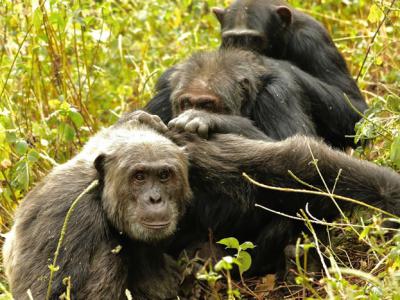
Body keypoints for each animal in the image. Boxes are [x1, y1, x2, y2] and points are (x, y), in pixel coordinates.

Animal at [2, 112, 191, 300]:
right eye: (139, 176)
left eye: (164, 175)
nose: (155, 198)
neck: (100, 192)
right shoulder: (68, 216)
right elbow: (44, 292)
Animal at [145, 49, 360, 150]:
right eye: (186, 103)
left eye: (207, 105)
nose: (192, 110)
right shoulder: (164, 93)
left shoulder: (278, 95)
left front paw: (204, 118)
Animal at [214, 0, 368, 127]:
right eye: (232, 40)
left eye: (253, 40)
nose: (241, 52)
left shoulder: (313, 40)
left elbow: (355, 108)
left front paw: (266, 63)